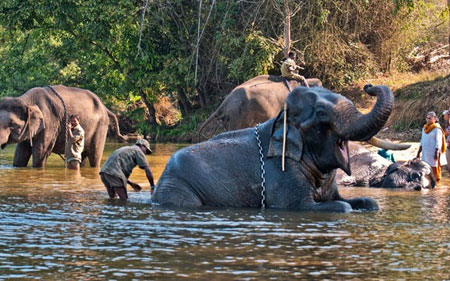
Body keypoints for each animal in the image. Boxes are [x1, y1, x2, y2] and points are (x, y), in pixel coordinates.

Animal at [152, 84, 394, 211]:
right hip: (178, 190)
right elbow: (330, 207)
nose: (369, 87)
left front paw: (366, 204)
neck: (281, 118)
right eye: (321, 113)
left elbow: (366, 201)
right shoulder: (281, 174)